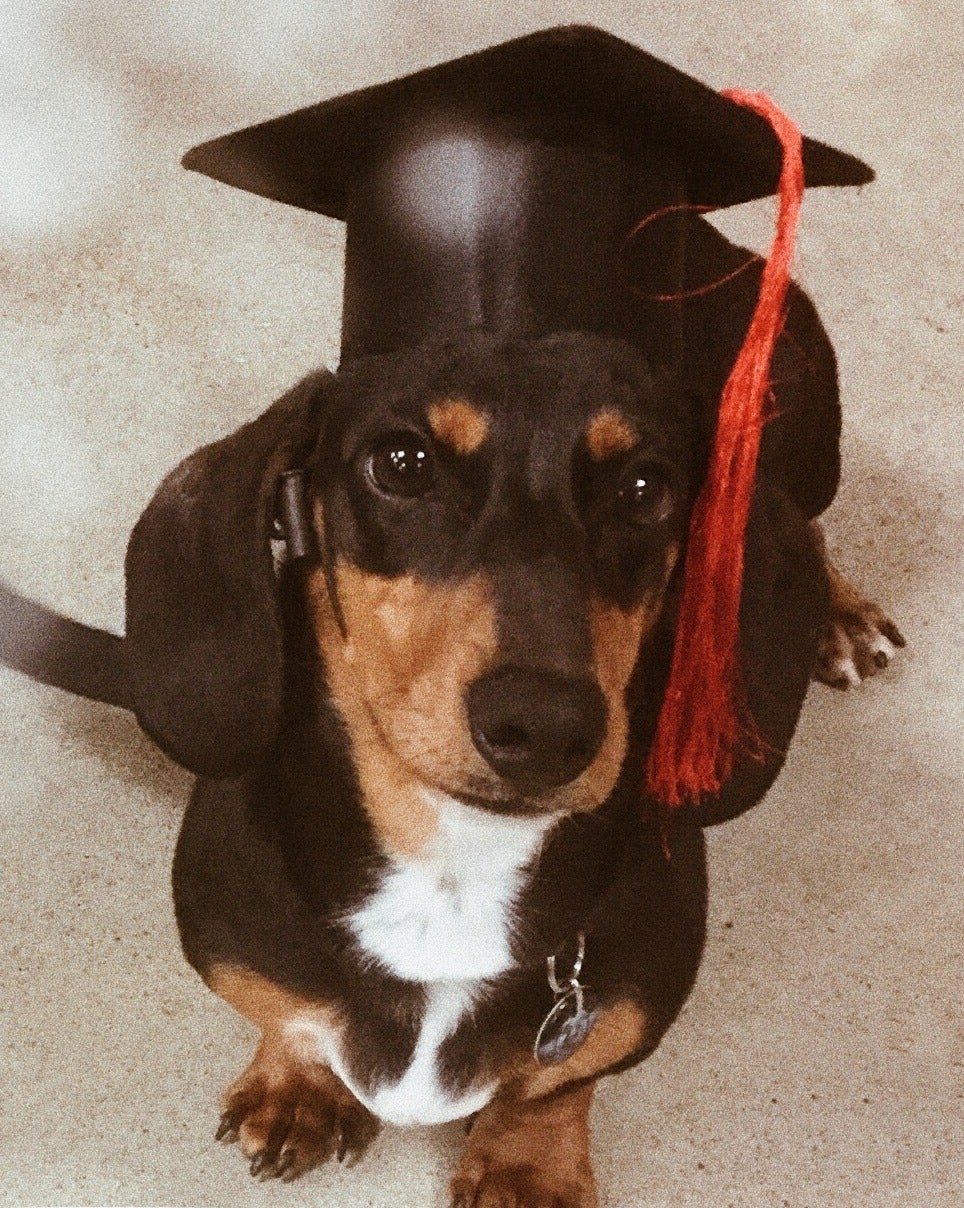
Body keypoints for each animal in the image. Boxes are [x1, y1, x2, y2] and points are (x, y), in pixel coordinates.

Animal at [122, 240, 908, 1203]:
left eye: (646, 486)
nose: (545, 726)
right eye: (401, 463)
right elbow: (293, 1018)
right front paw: (298, 1084)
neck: (453, 866)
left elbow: (556, 1083)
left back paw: (840, 615)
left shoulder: (629, 997)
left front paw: (526, 1168)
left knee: (807, 518)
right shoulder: (242, 943)